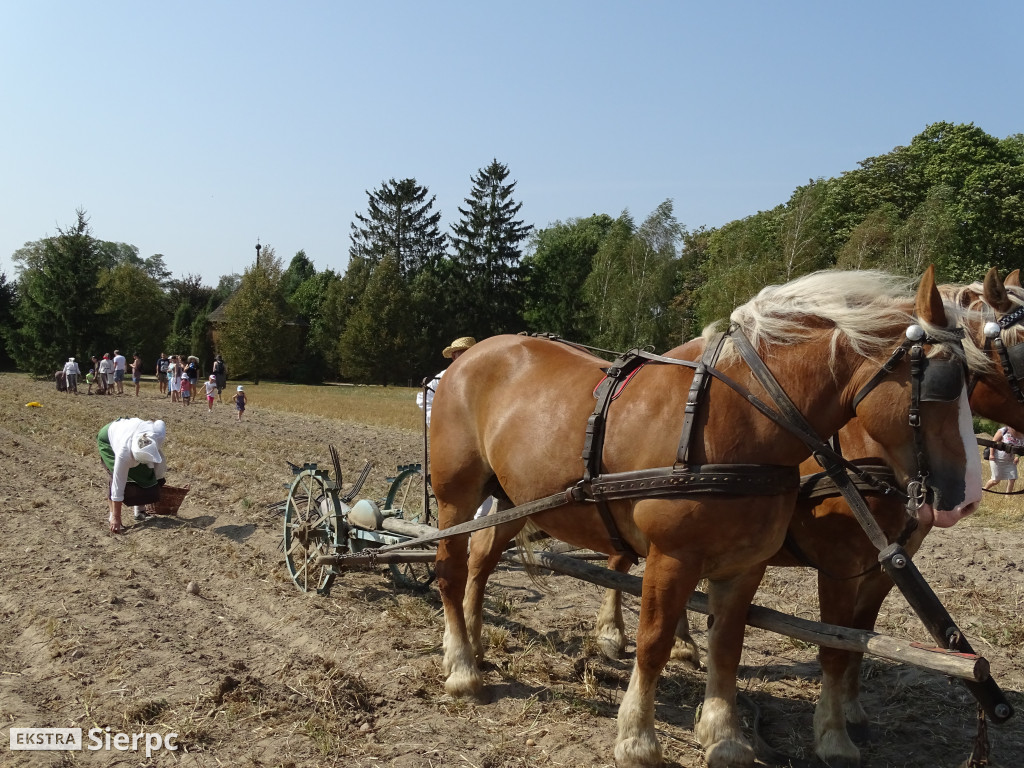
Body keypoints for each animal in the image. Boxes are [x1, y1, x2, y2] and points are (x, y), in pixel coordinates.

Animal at [428, 268, 978, 765]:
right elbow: (653, 642)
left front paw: (725, 738)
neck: (736, 419)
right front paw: (637, 740)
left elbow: (729, 645)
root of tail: (471, 354)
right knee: (451, 571)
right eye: (943, 383)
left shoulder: (745, 565)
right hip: (457, 497)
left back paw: (475, 644)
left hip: (509, 500)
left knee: (481, 562)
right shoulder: (674, 555)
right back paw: (462, 668)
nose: (968, 496)